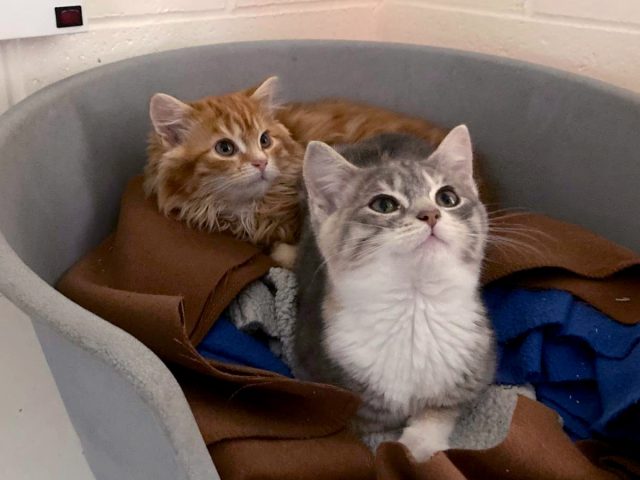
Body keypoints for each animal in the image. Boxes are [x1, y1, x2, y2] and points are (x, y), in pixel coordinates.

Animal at [292, 127, 498, 462]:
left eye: (448, 197)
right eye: (384, 204)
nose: (431, 214)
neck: (414, 307)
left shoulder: (476, 369)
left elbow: (441, 410)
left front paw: (419, 446)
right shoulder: (317, 373)